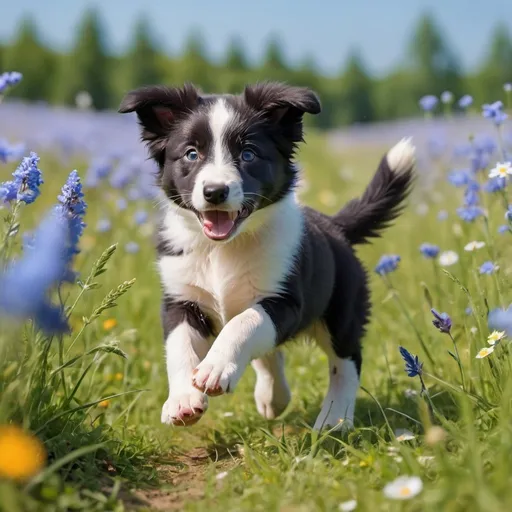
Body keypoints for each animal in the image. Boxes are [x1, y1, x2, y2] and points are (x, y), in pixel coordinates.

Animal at [118, 82, 414, 430]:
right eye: (192, 154)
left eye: (248, 154)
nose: (215, 192)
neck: (223, 249)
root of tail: (335, 225)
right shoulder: (181, 299)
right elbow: (179, 346)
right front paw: (182, 401)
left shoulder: (285, 301)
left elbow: (245, 322)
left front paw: (215, 368)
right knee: (271, 354)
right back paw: (274, 399)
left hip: (343, 309)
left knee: (346, 361)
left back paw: (334, 419)